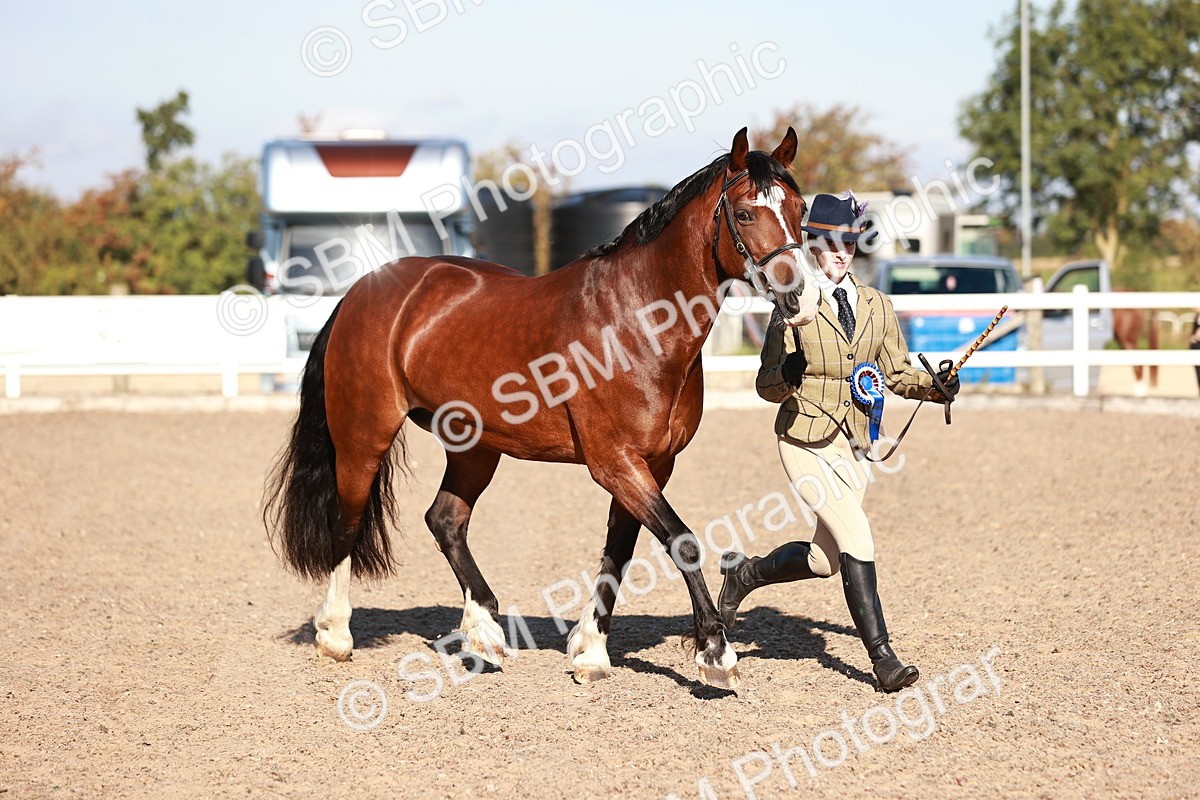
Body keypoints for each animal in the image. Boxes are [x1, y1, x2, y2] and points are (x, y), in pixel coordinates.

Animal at [263, 127, 820, 690]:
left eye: (800, 208)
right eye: (745, 213)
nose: (802, 297)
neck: (634, 321)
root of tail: (362, 290)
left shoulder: (652, 464)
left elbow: (619, 551)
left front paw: (591, 652)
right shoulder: (615, 462)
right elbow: (680, 541)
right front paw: (715, 653)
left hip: (474, 447)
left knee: (445, 520)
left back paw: (485, 632)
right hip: (364, 435)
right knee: (348, 522)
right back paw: (336, 635)